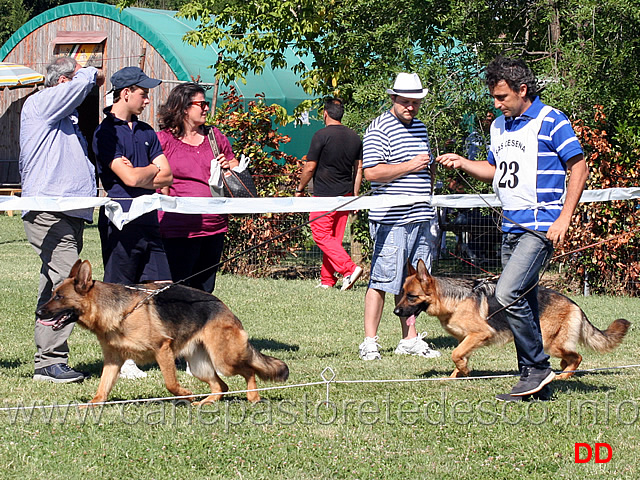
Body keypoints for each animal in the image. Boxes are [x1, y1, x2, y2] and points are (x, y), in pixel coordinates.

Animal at [37, 258, 290, 404]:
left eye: (59, 297)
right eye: (53, 294)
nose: (38, 312)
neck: (119, 310)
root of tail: (225, 308)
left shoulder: (163, 350)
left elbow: (170, 384)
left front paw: (186, 394)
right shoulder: (112, 361)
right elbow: (102, 389)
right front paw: (92, 405)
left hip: (224, 360)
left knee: (249, 371)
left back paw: (252, 397)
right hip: (200, 366)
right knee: (221, 386)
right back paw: (205, 403)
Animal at [396, 258, 632, 378]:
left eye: (412, 296)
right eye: (403, 294)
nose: (396, 312)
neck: (454, 300)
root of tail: (574, 304)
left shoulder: (480, 334)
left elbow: (456, 354)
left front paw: (463, 371)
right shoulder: (467, 339)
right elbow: (460, 356)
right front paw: (458, 376)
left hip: (550, 343)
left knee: (577, 358)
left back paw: (562, 377)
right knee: (569, 359)